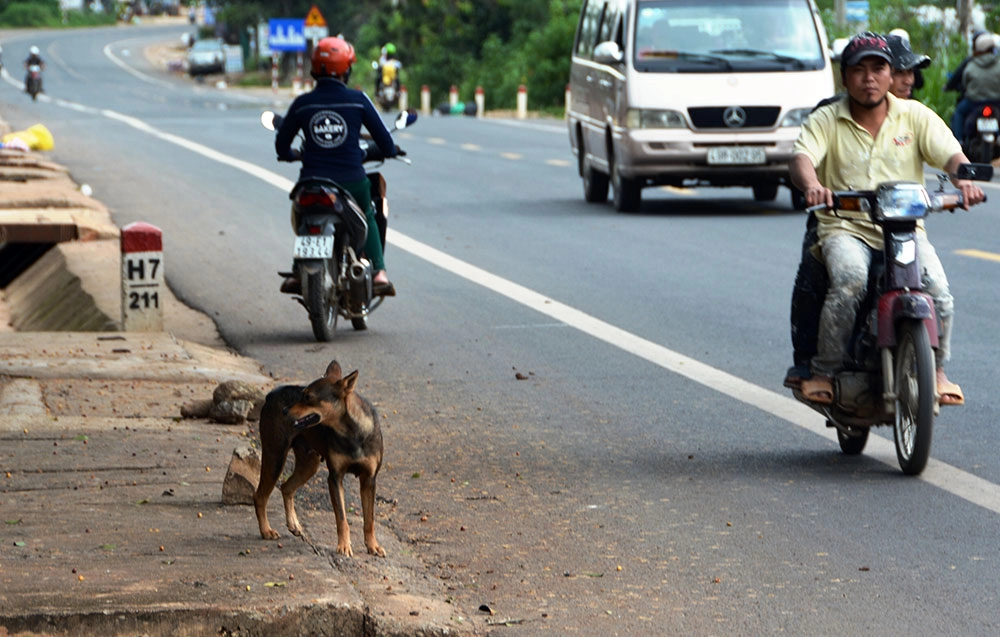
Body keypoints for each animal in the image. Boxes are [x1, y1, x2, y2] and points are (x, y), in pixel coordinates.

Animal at [252, 360, 384, 556]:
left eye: (308, 397)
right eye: (302, 394)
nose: (284, 410)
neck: (352, 431)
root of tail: (270, 395)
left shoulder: (369, 479)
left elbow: (369, 520)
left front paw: (372, 545)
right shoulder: (335, 478)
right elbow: (342, 518)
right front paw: (344, 546)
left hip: (309, 464)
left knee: (286, 487)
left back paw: (293, 524)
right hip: (275, 456)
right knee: (260, 496)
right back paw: (266, 530)